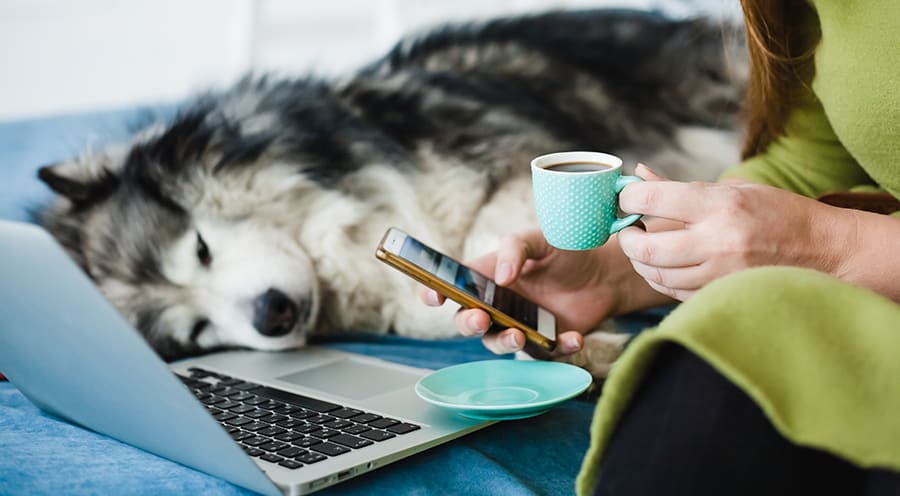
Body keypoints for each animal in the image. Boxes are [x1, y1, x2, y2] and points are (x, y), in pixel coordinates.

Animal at [35, 9, 748, 378]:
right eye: (198, 332)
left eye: (202, 247)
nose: (273, 315)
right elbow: (428, 312)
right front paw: (583, 342)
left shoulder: (510, 161)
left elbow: (487, 240)